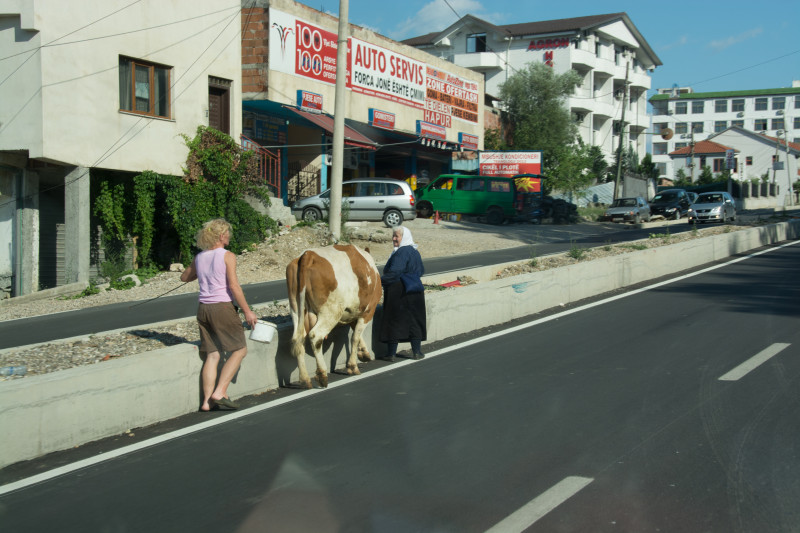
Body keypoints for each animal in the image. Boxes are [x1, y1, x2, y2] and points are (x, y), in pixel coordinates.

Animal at [284, 244, 382, 386]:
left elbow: (357, 334)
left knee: (298, 339)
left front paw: (364, 353)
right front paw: (353, 366)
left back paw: (305, 379)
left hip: (296, 309)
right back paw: (322, 376)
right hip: (331, 311)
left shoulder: (353, 312)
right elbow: (355, 337)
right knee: (315, 336)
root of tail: (308, 255)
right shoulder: (368, 311)